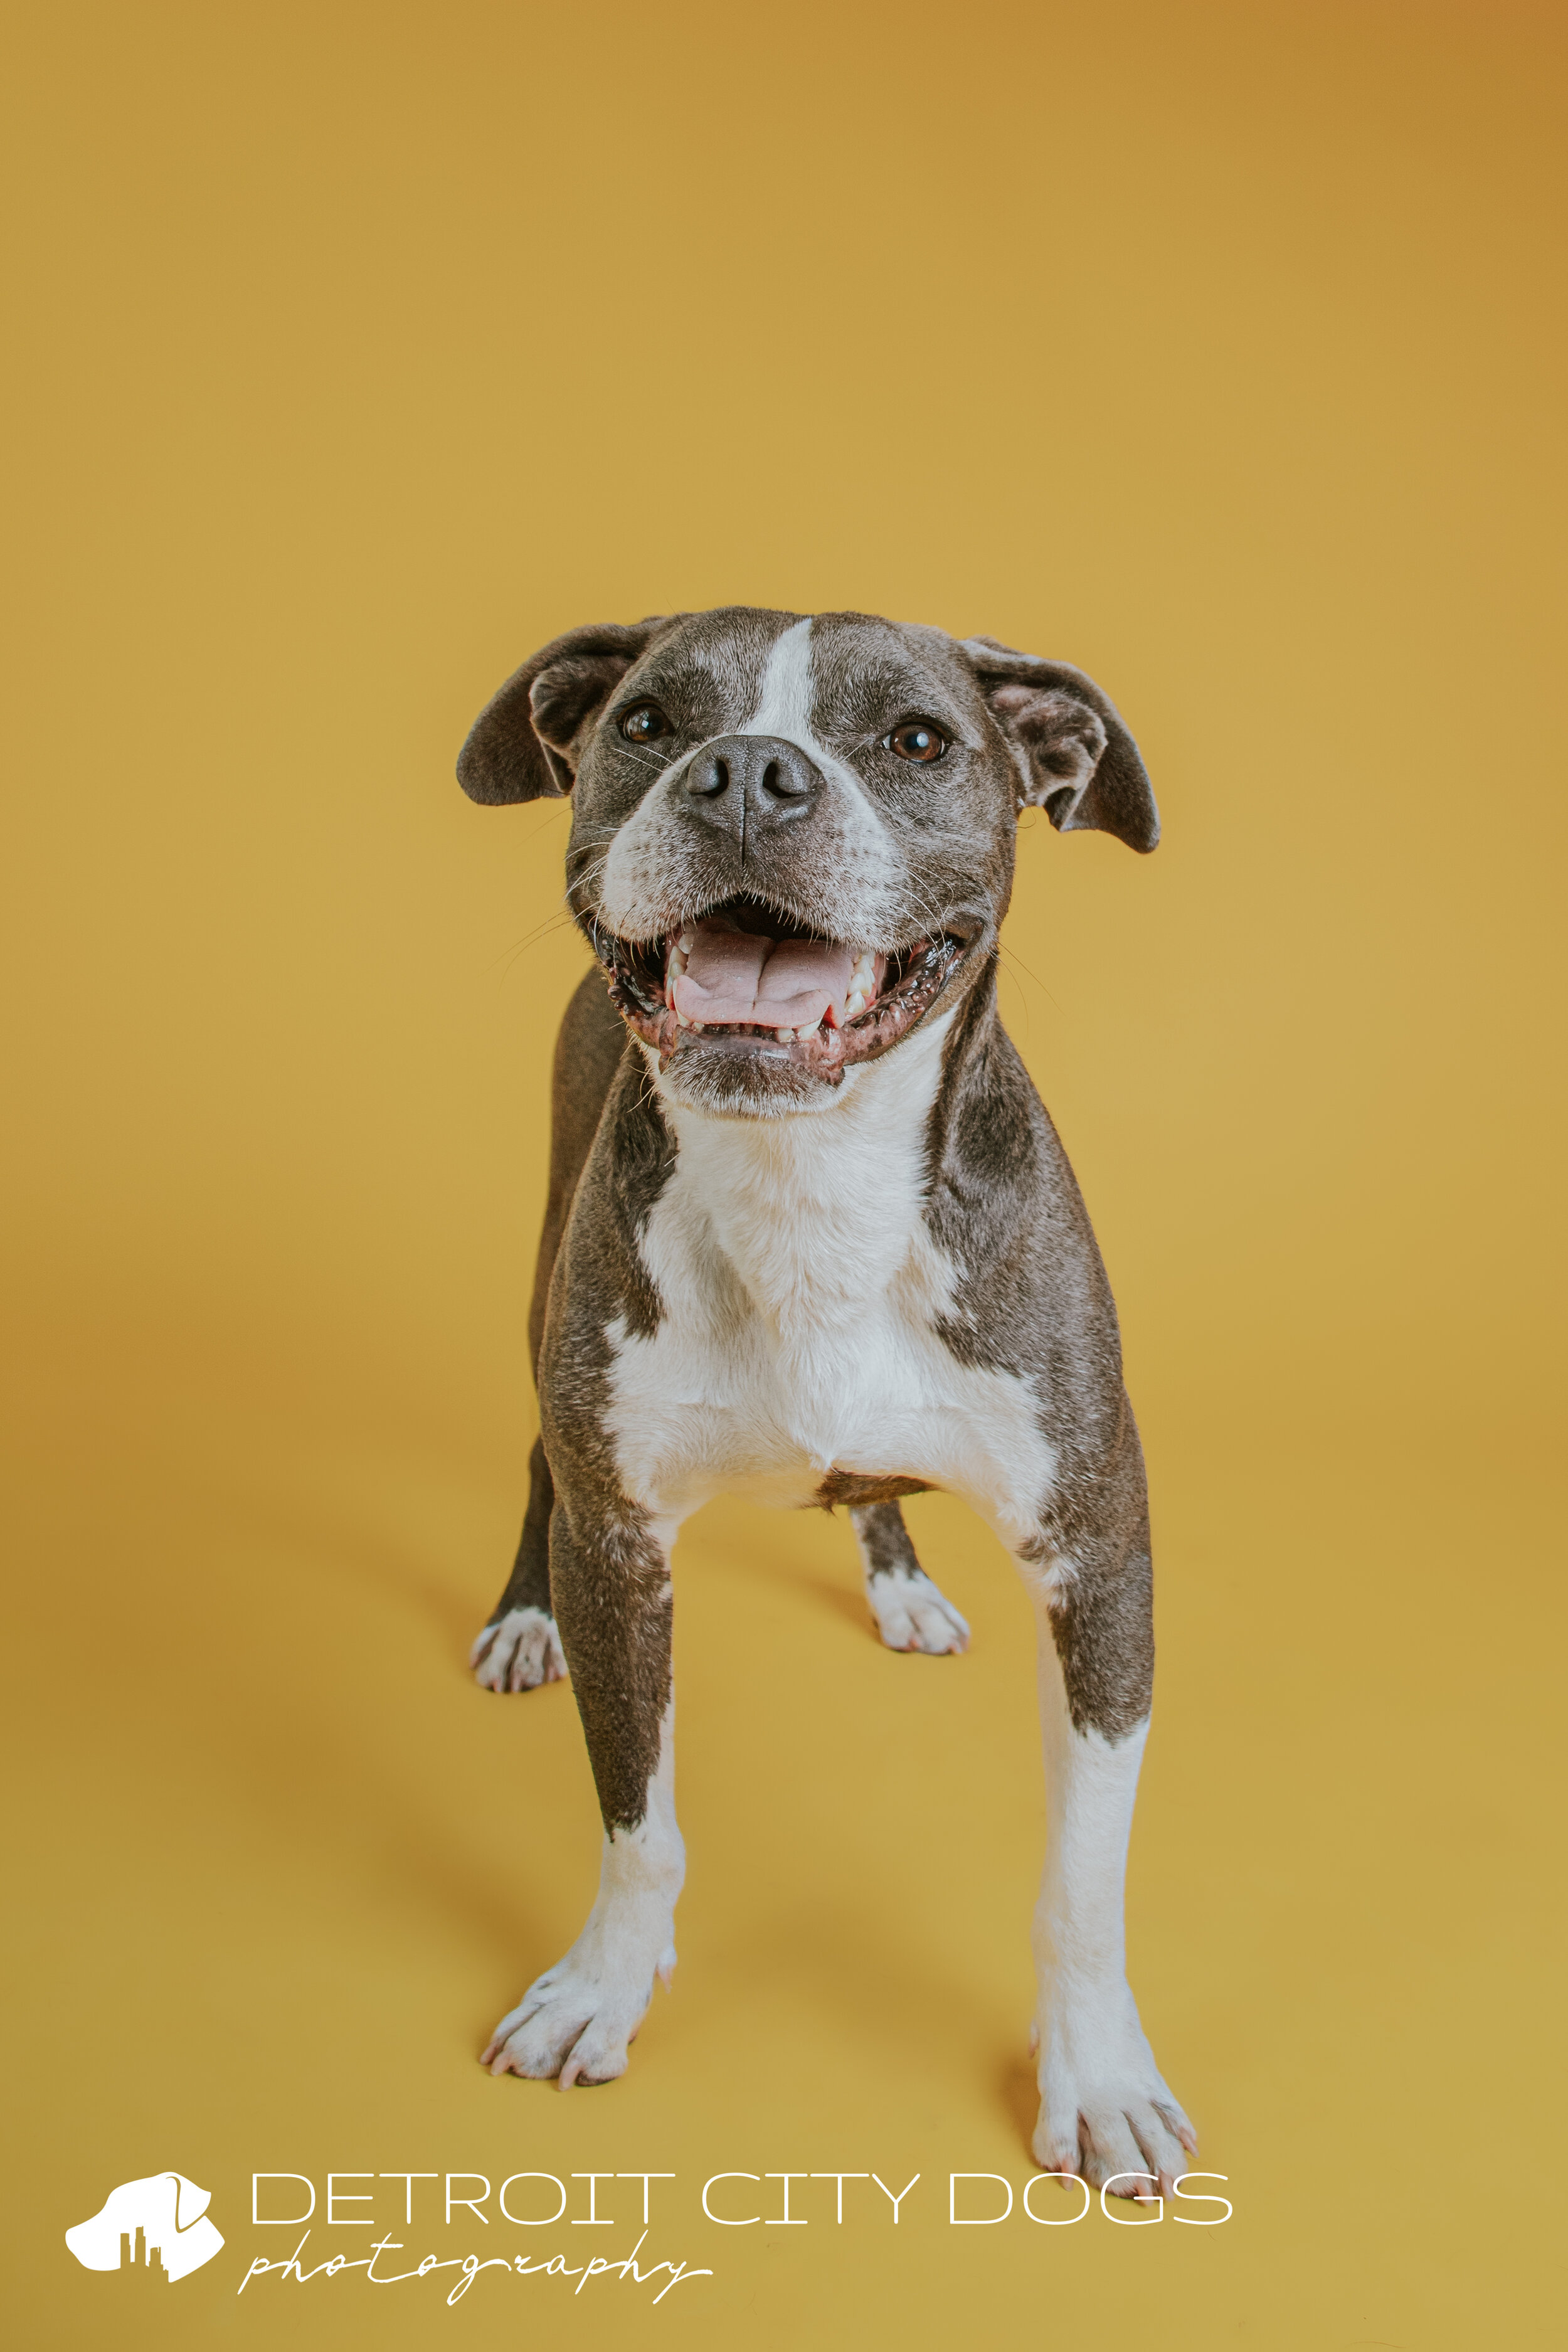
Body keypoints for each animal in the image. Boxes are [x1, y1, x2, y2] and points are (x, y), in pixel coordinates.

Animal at [460, 612, 1194, 2201]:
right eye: (647, 721)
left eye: (916, 739)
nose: (744, 772)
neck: (810, 1184)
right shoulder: (622, 1546)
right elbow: (639, 1820)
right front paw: (602, 1987)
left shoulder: (1096, 1563)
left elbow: (1082, 1882)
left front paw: (1099, 2076)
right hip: (539, 1280)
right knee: (535, 1459)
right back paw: (520, 1615)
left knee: (873, 1492)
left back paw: (900, 1582)